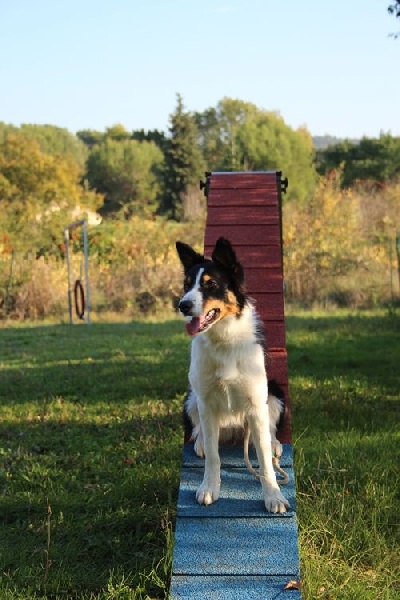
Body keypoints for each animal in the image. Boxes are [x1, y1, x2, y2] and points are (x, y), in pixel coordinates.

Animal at [175, 237, 288, 512]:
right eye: (186, 285)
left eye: (211, 284)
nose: (182, 305)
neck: (223, 339)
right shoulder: (205, 400)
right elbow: (214, 456)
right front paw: (209, 487)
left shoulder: (257, 403)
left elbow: (264, 462)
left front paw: (273, 496)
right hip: (191, 398)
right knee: (200, 430)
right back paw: (201, 442)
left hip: (274, 392)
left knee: (269, 431)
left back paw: (274, 443)